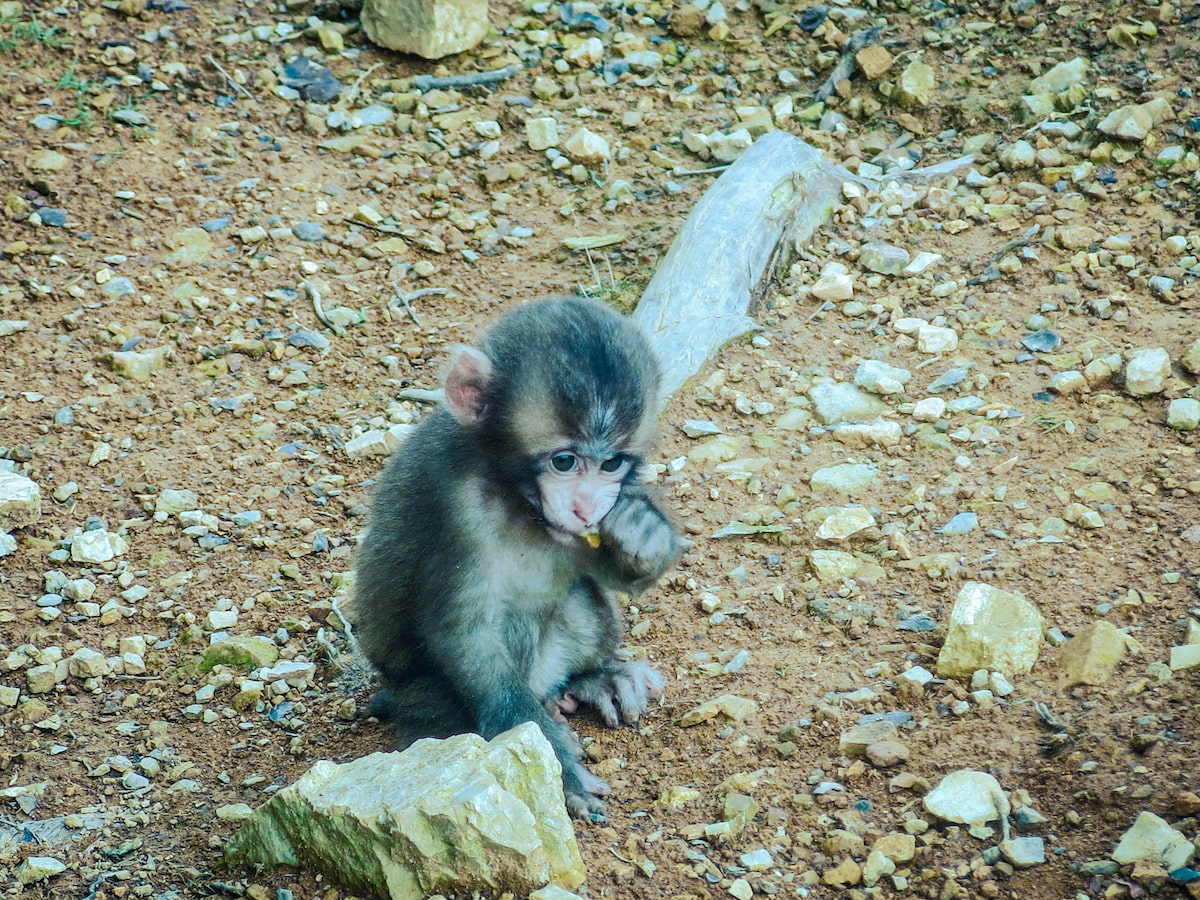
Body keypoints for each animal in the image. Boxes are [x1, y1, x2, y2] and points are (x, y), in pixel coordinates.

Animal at [353, 296, 682, 821]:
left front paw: (644, 529)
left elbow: (605, 567)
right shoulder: (456, 506)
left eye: (611, 463)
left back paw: (590, 680)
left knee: (577, 599)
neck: (515, 494)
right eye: (564, 461)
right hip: (420, 697)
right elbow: (468, 633)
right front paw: (563, 774)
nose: (585, 506)